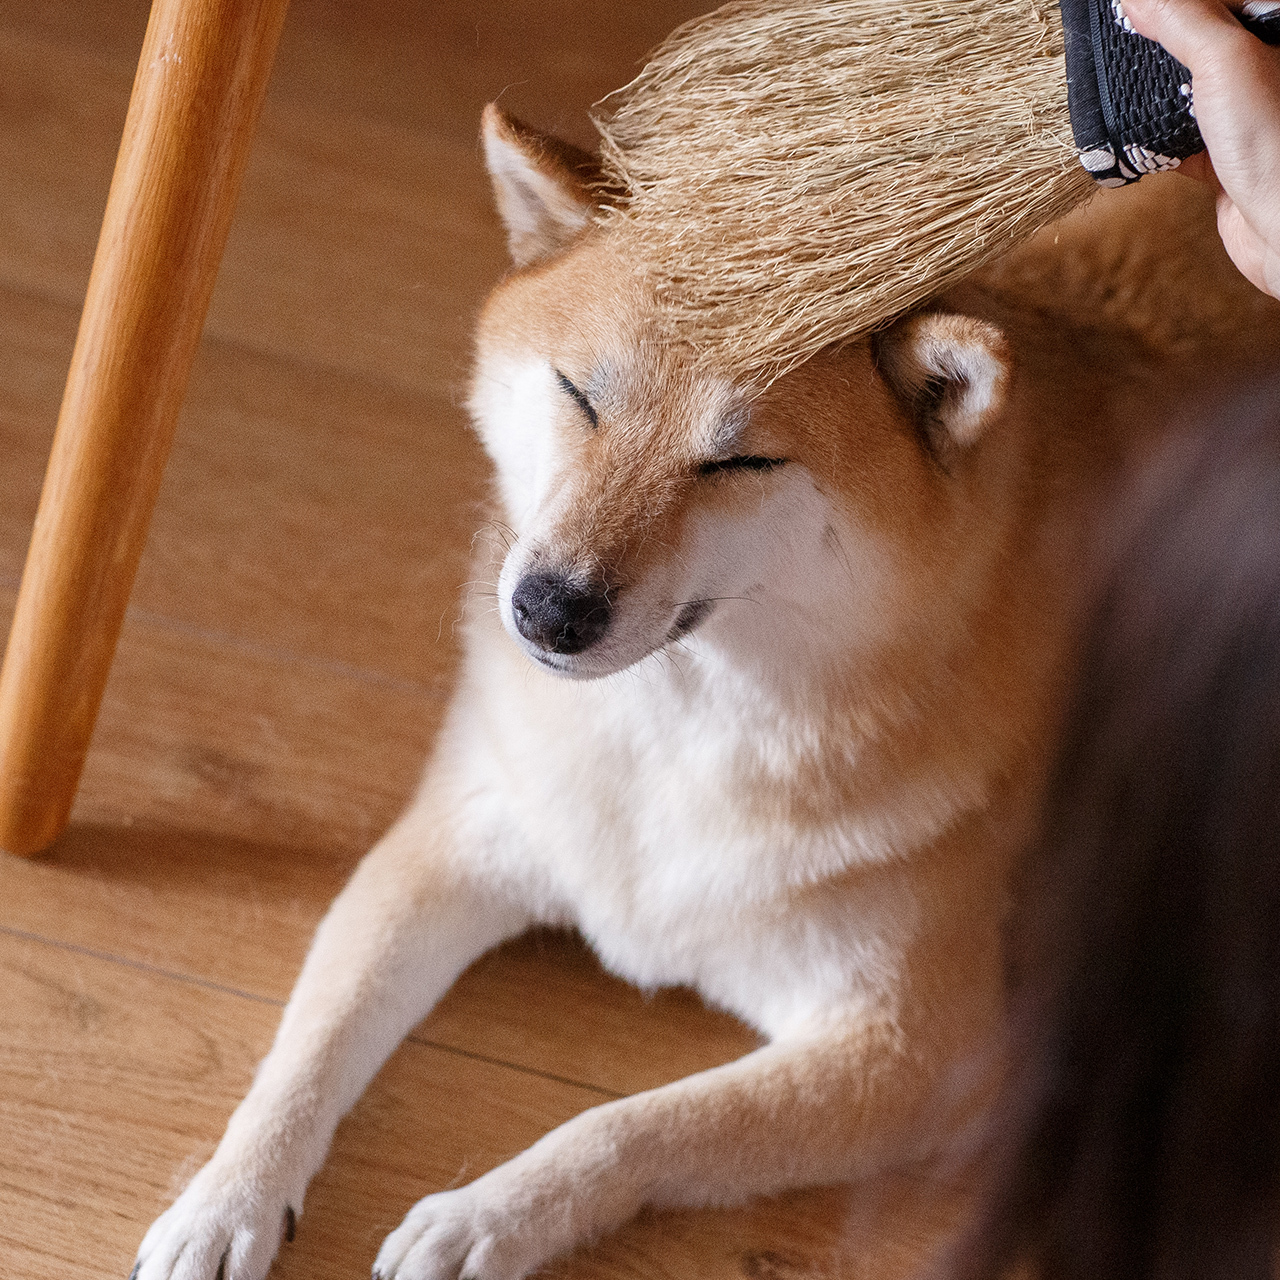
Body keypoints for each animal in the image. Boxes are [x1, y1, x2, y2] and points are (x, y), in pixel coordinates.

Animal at [129, 107, 1280, 1280]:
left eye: (740, 464)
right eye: (579, 395)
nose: (547, 608)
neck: (677, 720)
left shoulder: (916, 1052)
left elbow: (632, 1124)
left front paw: (485, 1216)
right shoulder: (447, 847)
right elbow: (308, 1048)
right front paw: (227, 1197)